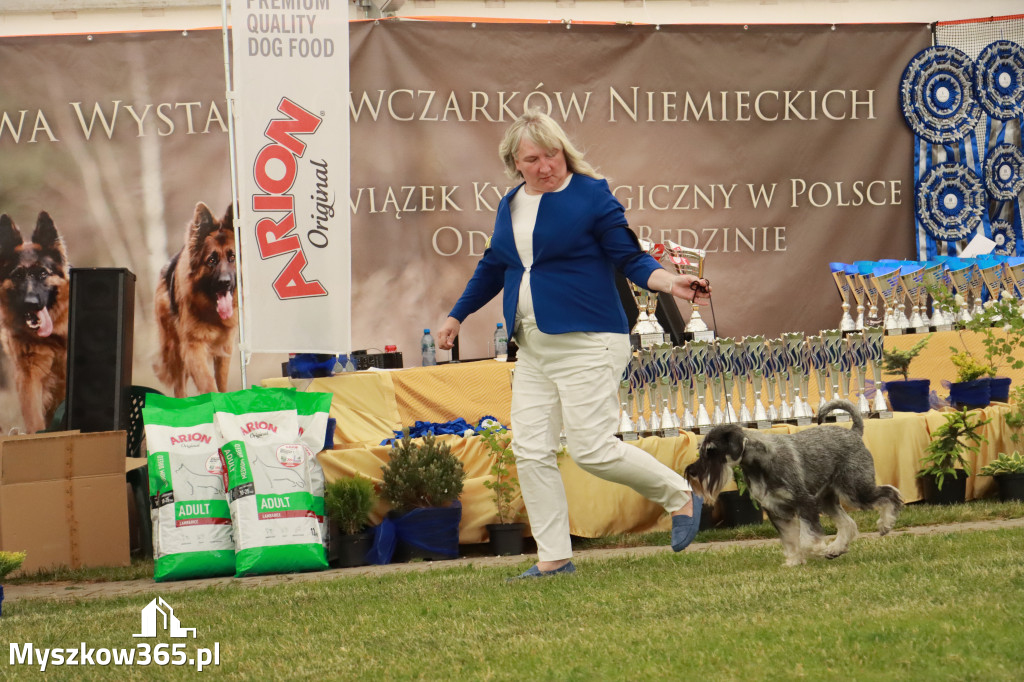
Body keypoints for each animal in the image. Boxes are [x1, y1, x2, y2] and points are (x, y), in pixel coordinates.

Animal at [684, 399, 901, 561]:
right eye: (702, 450)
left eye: (712, 450)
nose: (691, 473)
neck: (759, 463)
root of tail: (854, 432)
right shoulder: (776, 509)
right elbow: (789, 538)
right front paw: (794, 561)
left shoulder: (804, 502)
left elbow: (806, 537)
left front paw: (816, 549)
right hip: (826, 499)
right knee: (848, 523)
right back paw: (836, 549)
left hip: (855, 490)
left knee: (890, 493)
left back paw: (885, 524)